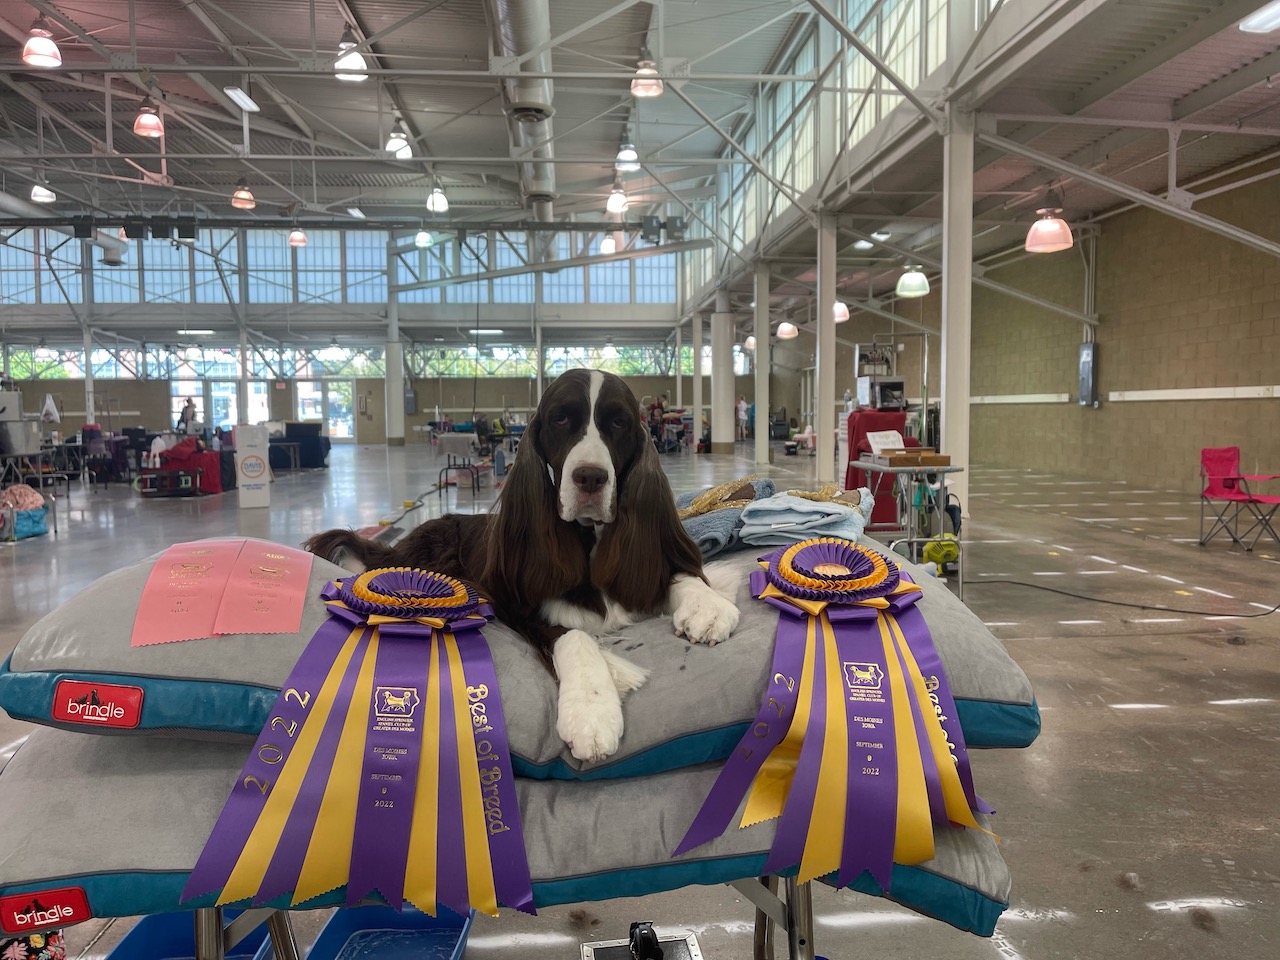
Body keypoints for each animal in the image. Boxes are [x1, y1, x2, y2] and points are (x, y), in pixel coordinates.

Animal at [304, 369, 739, 761]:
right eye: (560, 419)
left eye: (619, 422)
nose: (590, 478)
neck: (588, 540)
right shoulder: (520, 605)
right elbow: (572, 635)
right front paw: (592, 709)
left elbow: (678, 574)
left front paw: (707, 606)